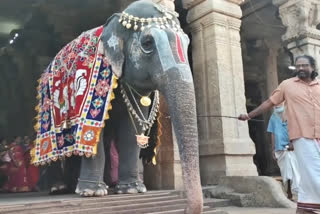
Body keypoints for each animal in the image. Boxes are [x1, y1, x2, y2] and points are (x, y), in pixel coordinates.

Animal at [31, 0, 202, 213]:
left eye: (187, 42)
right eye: (147, 43)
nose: (185, 208)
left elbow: (131, 130)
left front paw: (132, 190)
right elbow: (93, 131)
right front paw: (92, 193)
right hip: (46, 101)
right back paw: (61, 188)